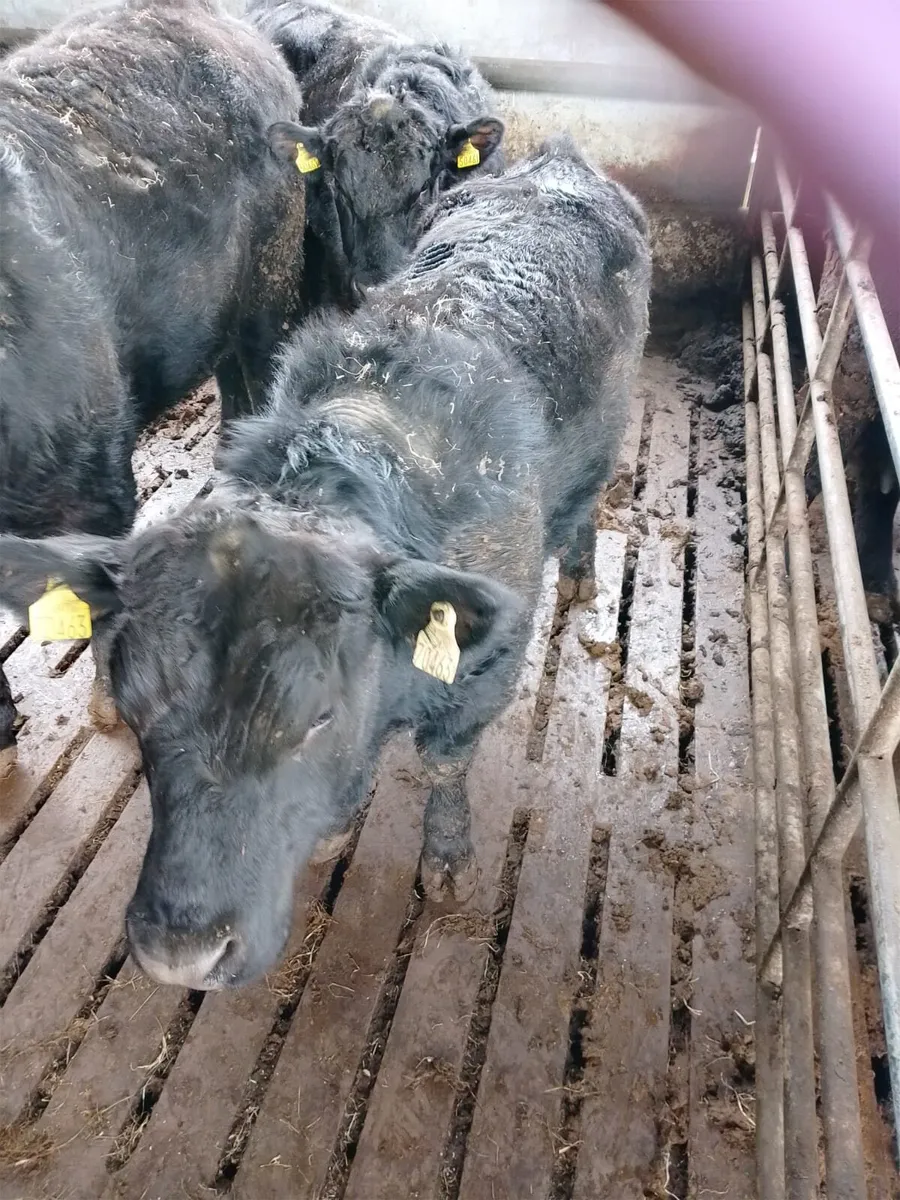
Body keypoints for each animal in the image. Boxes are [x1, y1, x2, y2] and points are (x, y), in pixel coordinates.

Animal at [0, 136, 651, 989]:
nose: (180, 954)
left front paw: (448, 862)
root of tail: (561, 160)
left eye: (318, 715)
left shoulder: (485, 671)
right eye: (135, 709)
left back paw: (579, 572)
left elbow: (444, 764)